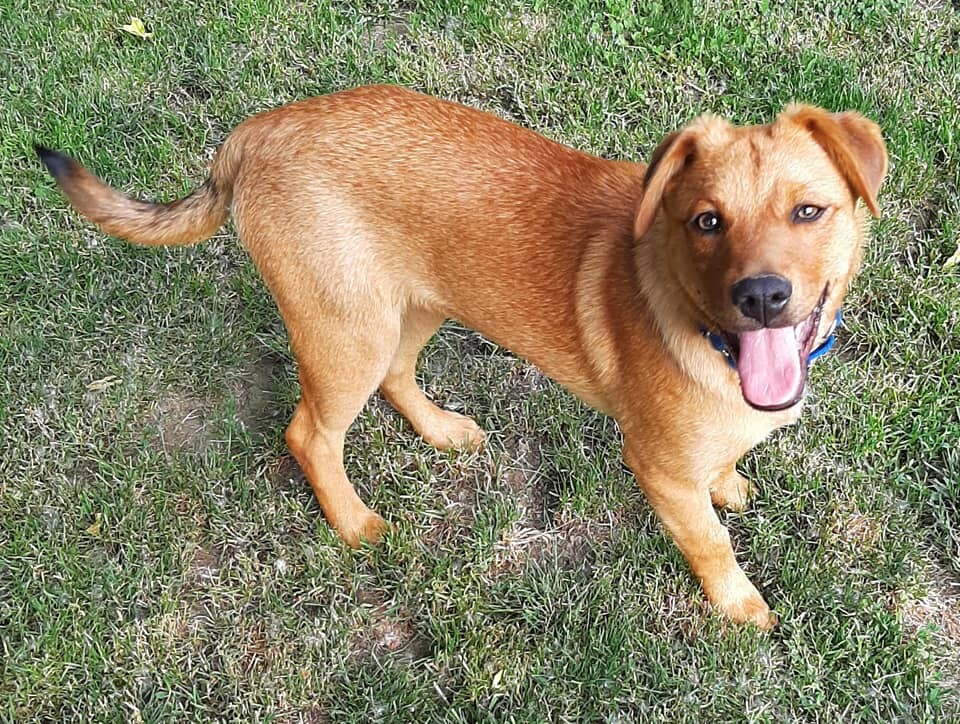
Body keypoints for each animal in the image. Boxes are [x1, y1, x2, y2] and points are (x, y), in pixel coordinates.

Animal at [39, 85, 892, 628]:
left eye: (808, 211)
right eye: (707, 221)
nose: (763, 297)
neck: (700, 324)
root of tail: (258, 132)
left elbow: (722, 474)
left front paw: (731, 483)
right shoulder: (656, 468)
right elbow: (710, 545)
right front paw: (740, 606)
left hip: (416, 306)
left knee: (397, 377)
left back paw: (443, 432)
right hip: (346, 333)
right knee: (310, 434)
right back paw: (355, 524)